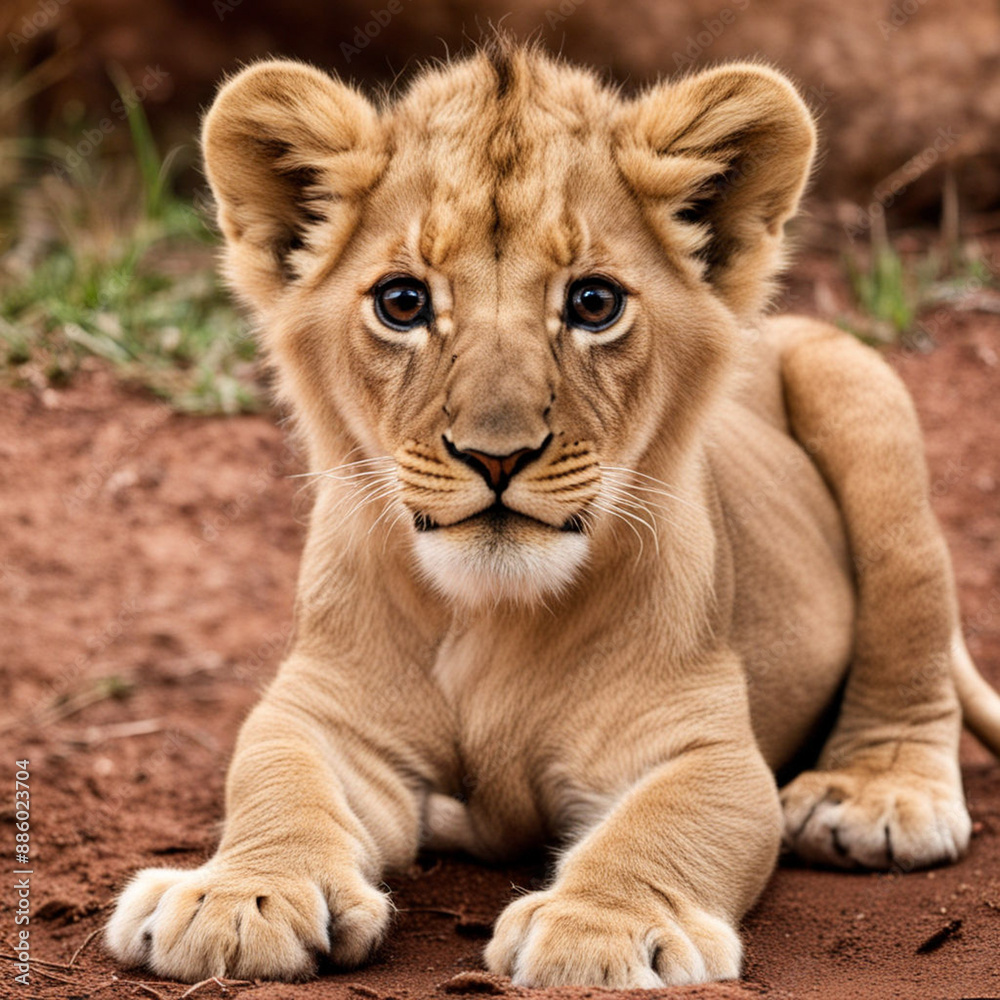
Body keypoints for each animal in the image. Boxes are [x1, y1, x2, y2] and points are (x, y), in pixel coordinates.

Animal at [105, 43, 1000, 989]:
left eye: (593, 304)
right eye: (402, 302)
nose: (497, 456)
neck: (489, 615)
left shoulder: (700, 739)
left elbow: (668, 824)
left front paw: (601, 928)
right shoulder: (324, 708)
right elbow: (277, 779)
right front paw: (237, 897)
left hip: (855, 381)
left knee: (912, 624)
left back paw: (875, 798)